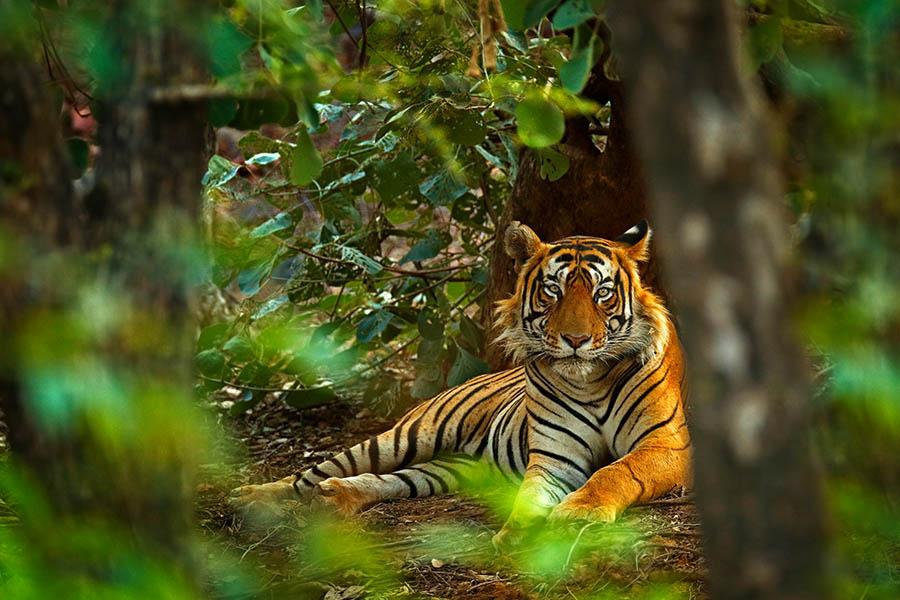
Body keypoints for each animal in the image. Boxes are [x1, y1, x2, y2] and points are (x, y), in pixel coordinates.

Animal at [231, 220, 691, 546]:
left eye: (602, 294)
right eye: (552, 291)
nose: (575, 340)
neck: (590, 381)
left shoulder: (667, 444)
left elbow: (616, 471)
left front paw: (578, 512)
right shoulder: (554, 457)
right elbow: (530, 494)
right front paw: (518, 533)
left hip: (452, 468)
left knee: (393, 480)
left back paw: (336, 497)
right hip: (407, 436)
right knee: (313, 473)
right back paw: (252, 496)